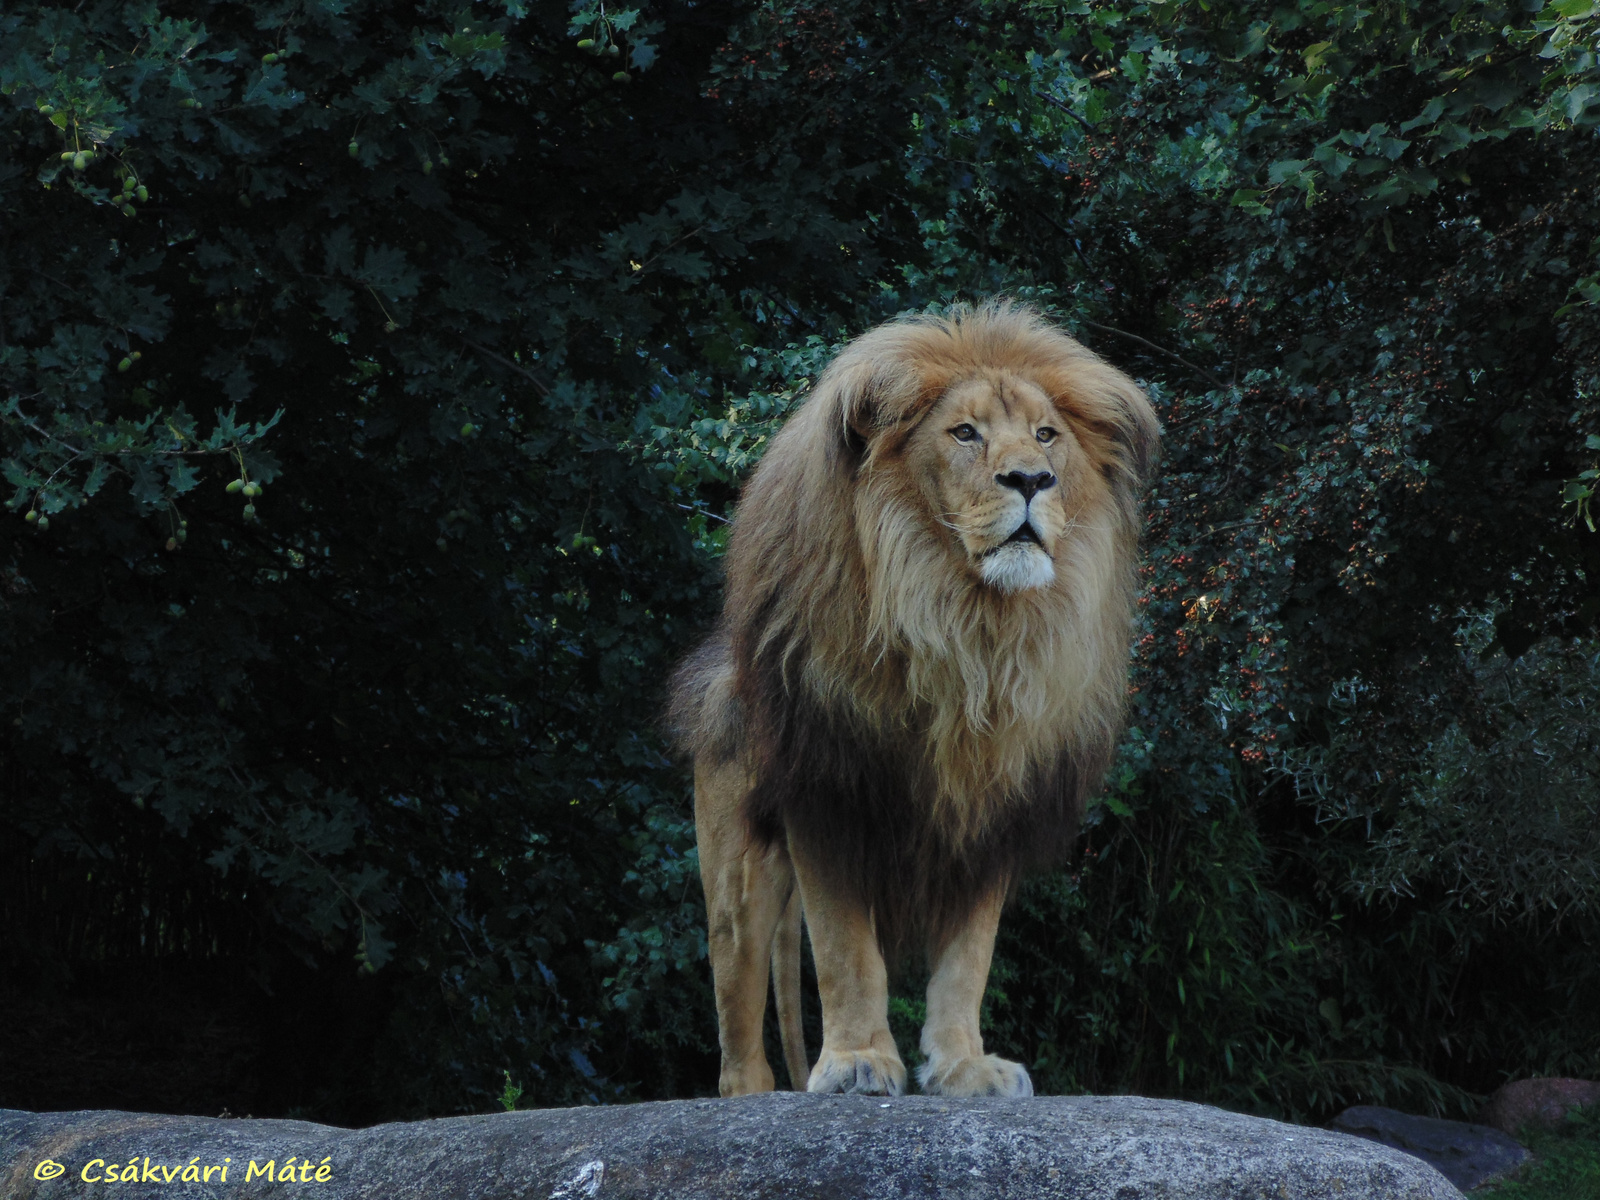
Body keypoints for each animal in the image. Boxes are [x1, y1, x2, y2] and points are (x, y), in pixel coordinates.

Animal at [668, 299, 1158, 1100]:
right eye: (965, 433)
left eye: (1046, 434)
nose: (1034, 479)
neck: (966, 630)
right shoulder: (828, 796)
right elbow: (845, 950)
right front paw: (858, 1059)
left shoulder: (990, 814)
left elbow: (967, 961)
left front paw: (964, 1066)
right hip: (737, 878)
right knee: (736, 1026)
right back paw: (753, 1098)